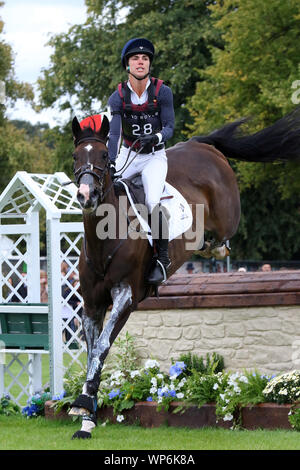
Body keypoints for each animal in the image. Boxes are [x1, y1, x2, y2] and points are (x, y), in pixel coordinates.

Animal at [68, 106, 300, 436]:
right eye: (76, 156)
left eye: (102, 155)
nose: (86, 195)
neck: (106, 237)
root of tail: (201, 145)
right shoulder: (91, 304)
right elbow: (93, 353)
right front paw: (86, 416)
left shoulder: (126, 296)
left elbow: (100, 348)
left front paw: (84, 407)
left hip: (227, 216)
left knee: (223, 238)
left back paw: (213, 249)